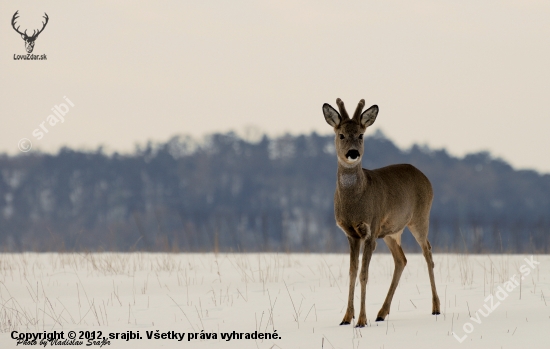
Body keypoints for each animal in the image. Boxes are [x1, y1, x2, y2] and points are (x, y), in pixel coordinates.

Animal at [326, 97, 442, 326]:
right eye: (341, 134)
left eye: (361, 135)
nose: (353, 153)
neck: (354, 202)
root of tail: (425, 177)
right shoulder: (351, 233)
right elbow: (352, 272)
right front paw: (346, 318)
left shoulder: (370, 229)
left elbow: (364, 274)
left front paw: (361, 320)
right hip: (390, 231)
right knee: (401, 259)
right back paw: (381, 312)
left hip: (420, 218)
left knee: (428, 252)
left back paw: (435, 308)